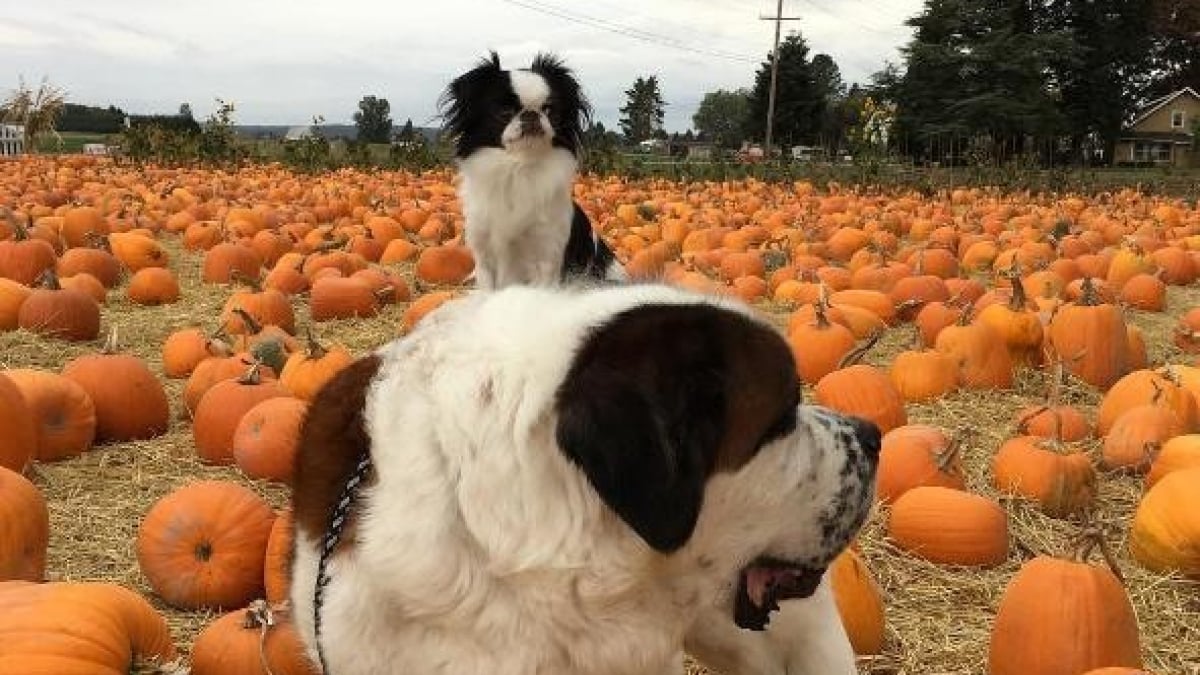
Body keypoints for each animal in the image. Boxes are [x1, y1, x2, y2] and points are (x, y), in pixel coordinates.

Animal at [441, 49, 628, 285]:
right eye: (504, 112)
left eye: (549, 110)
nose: (531, 114)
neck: (519, 167)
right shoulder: (485, 260)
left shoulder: (547, 260)